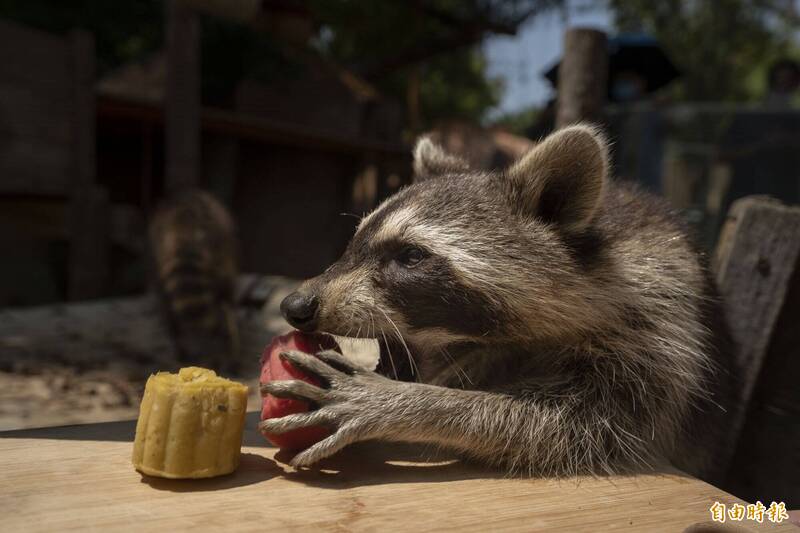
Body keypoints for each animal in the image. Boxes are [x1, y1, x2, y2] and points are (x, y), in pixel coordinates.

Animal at [260, 125, 736, 482]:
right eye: (354, 241)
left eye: (410, 256)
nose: (296, 304)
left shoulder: (659, 326)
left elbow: (567, 428)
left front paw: (410, 403)